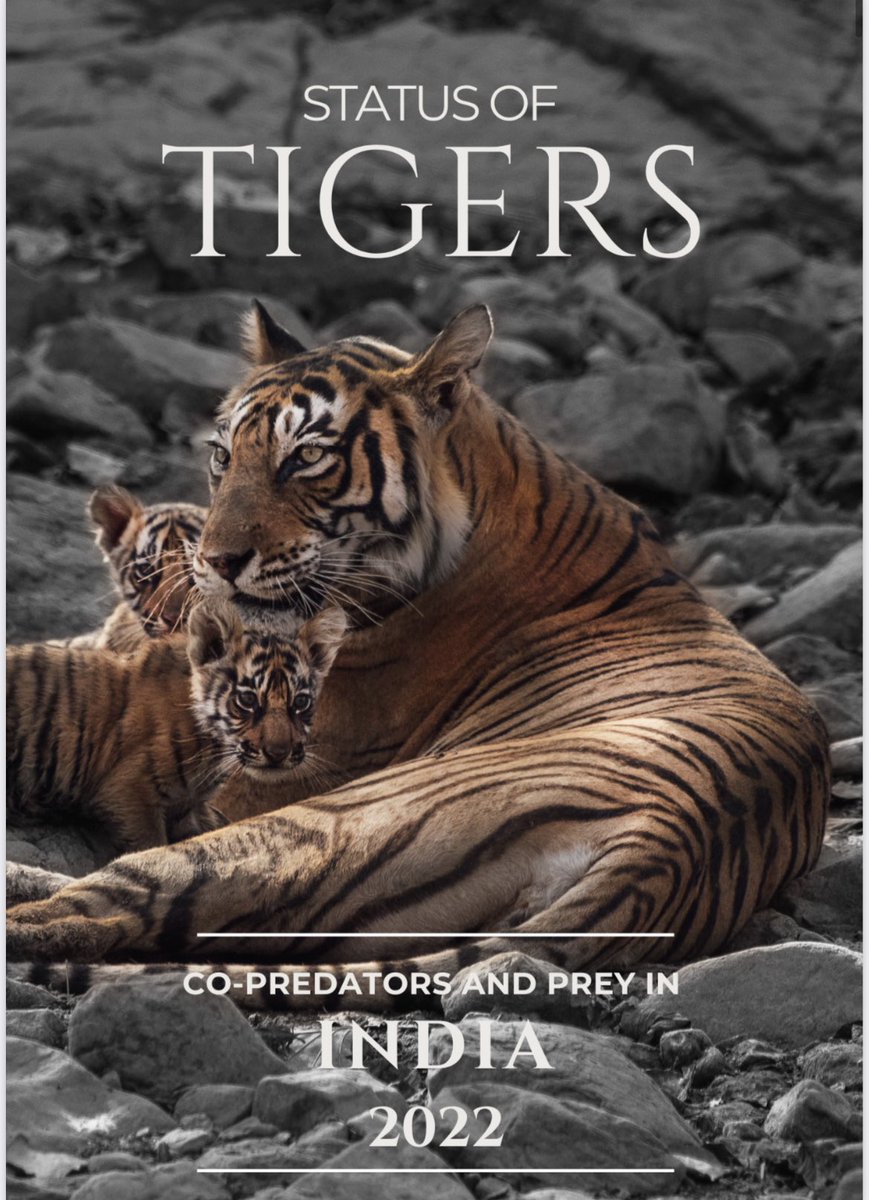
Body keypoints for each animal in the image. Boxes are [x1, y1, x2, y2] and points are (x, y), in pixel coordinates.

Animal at [6, 598, 347, 853]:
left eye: (300, 703)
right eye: (247, 700)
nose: (278, 753)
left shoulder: (188, 808)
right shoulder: (127, 793)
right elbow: (150, 846)